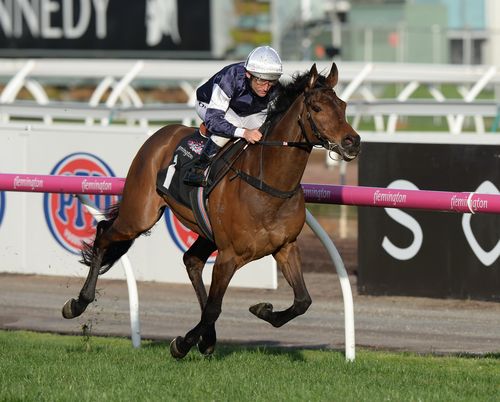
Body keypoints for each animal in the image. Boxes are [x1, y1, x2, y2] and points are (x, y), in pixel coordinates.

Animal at [61, 62, 360, 358]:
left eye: (343, 106)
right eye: (317, 108)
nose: (352, 141)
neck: (268, 185)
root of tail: (161, 133)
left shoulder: (285, 246)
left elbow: (302, 301)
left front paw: (263, 310)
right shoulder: (229, 255)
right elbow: (214, 309)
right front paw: (182, 343)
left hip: (205, 231)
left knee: (191, 260)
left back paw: (208, 338)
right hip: (140, 215)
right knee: (104, 233)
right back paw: (77, 304)